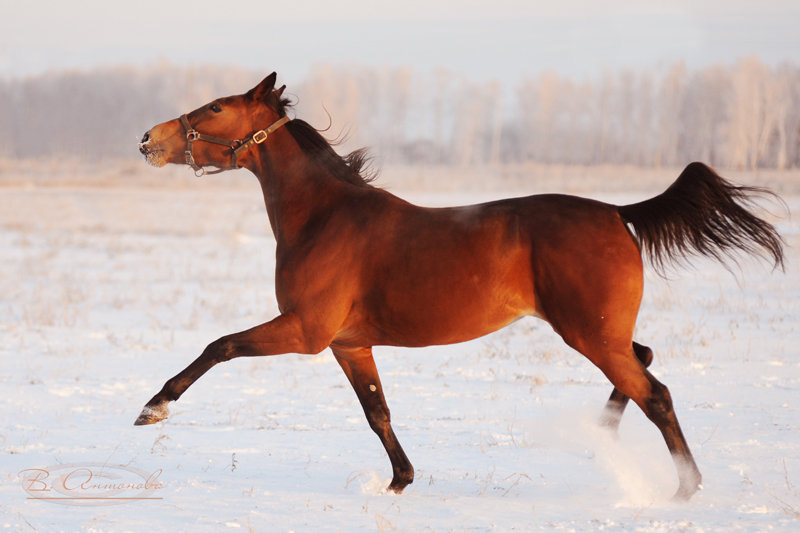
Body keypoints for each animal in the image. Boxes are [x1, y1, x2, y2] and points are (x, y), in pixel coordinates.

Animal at [136, 70, 780, 498]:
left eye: (215, 108)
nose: (148, 140)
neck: (324, 217)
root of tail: (618, 212)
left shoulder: (305, 332)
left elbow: (219, 345)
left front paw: (153, 408)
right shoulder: (349, 344)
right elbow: (378, 412)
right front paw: (400, 483)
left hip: (590, 334)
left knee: (657, 393)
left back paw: (682, 490)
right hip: (601, 333)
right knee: (642, 363)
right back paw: (603, 435)